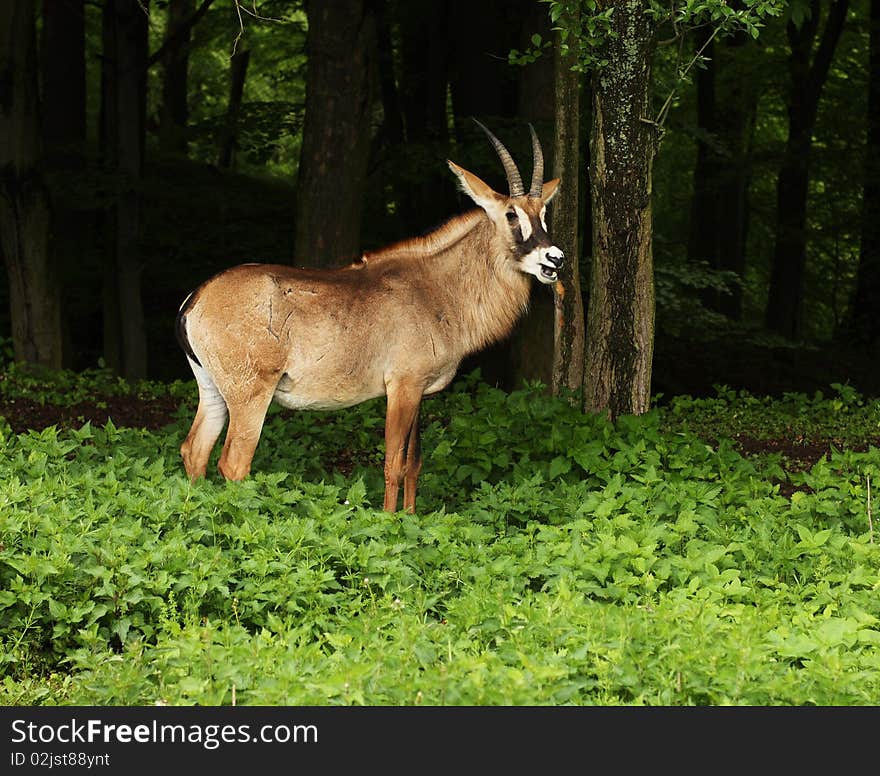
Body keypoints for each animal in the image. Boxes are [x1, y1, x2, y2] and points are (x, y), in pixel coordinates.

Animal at [177, 123, 564, 516]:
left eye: (543, 213)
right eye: (512, 215)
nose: (555, 258)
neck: (436, 287)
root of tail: (195, 300)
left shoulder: (420, 392)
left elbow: (414, 463)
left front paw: (411, 517)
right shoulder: (402, 387)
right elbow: (393, 464)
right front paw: (390, 522)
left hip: (212, 389)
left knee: (195, 450)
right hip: (250, 394)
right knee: (234, 463)